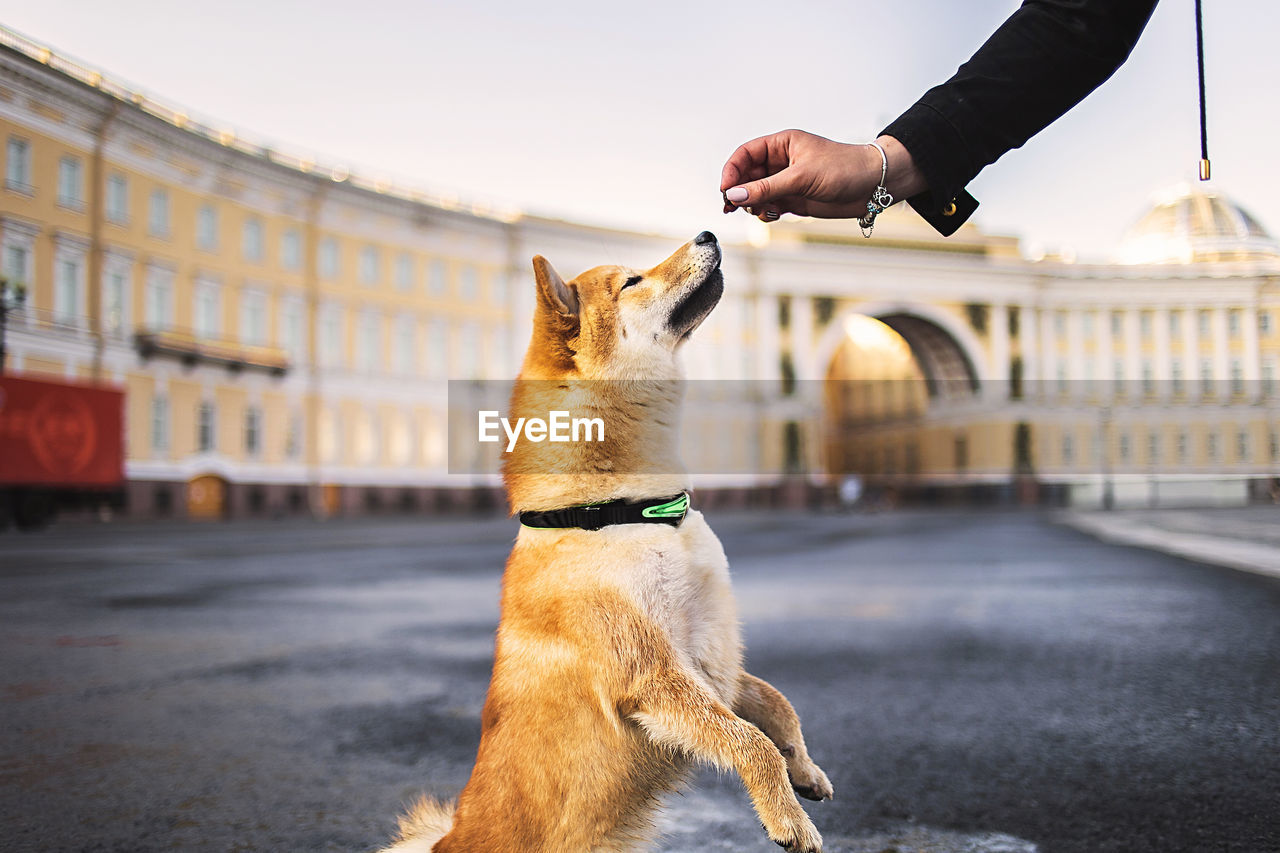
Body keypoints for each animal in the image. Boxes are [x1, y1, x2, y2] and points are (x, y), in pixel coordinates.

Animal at [378, 233, 834, 850]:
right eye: (632, 282)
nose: (709, 234)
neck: (625, 512)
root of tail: (447, 840)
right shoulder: (653, 671)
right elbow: (751, 741)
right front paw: (788, 817)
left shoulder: (713, 659)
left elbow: (777, 708)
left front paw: (804, 771)